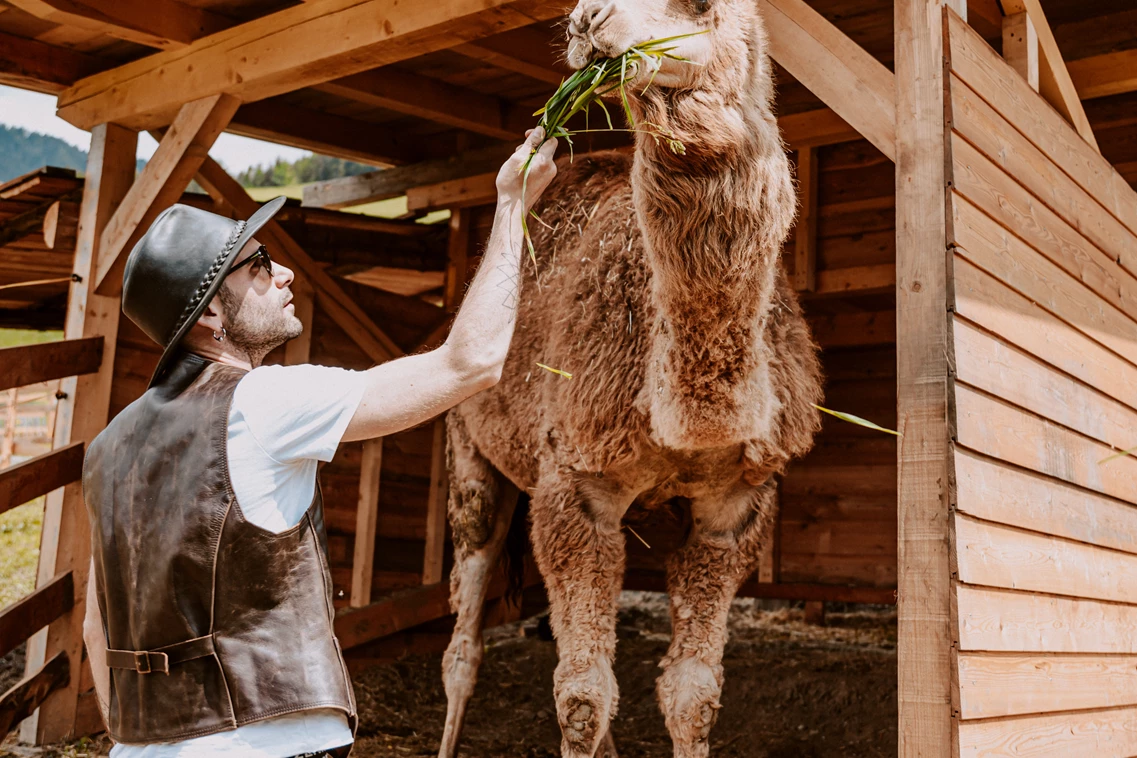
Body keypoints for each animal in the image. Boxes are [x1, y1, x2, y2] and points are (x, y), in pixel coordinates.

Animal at [432, 2, 818, 754]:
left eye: (701, 6)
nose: (586, 20)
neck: (689, 418)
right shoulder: (576, 482)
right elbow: (581, 698)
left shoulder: (735, 505)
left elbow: (691, 696)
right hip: (469, 453)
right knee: (464, 639)